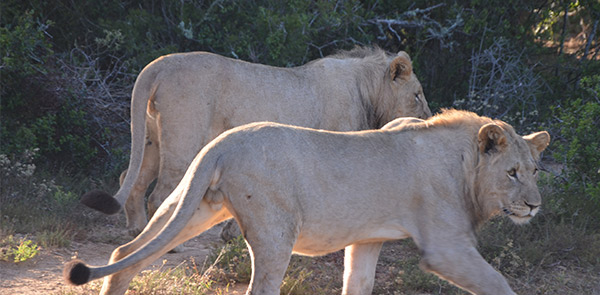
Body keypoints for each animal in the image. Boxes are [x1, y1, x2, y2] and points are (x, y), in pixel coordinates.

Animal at [64, 110, 548, 295]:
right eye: (512, 173)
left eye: (535, 171)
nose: (534, 206)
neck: (464, 164)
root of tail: (222, 143)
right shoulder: (446, 248)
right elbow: (498, 284)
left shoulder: (367, 240)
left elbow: (358, 284)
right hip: (275, 231)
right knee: (260, 287)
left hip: (193, 207)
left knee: (127, 253)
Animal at [82, 47, 434, 236]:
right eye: (417, 95)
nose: (430, 118)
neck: (368, 91)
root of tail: (160, 64)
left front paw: (230, 235)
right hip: (183, 138)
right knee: (161, 195)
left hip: (153, 138)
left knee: (131, 179)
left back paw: (135, 232)